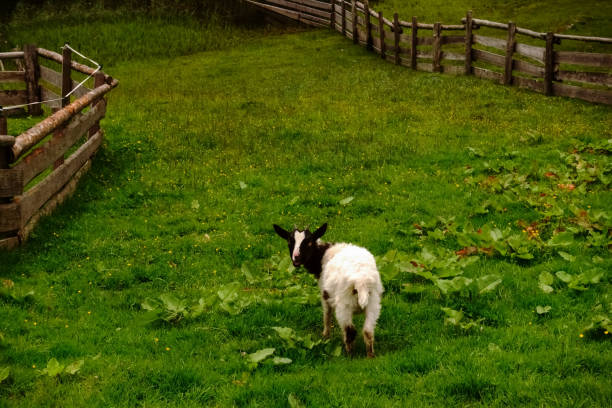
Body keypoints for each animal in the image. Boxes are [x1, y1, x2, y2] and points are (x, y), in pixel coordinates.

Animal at [272, 223, 382, 356]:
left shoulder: (324, 294)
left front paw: (325, 337)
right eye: (289, 241)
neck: (323, 254)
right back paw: (370, 356)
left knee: (350, 331)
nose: (296, 258)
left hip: (344, 305)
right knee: (368, 331)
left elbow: (327, 315)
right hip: (374, 302)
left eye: (309, 242)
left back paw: (349, 355)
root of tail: (361, 282)